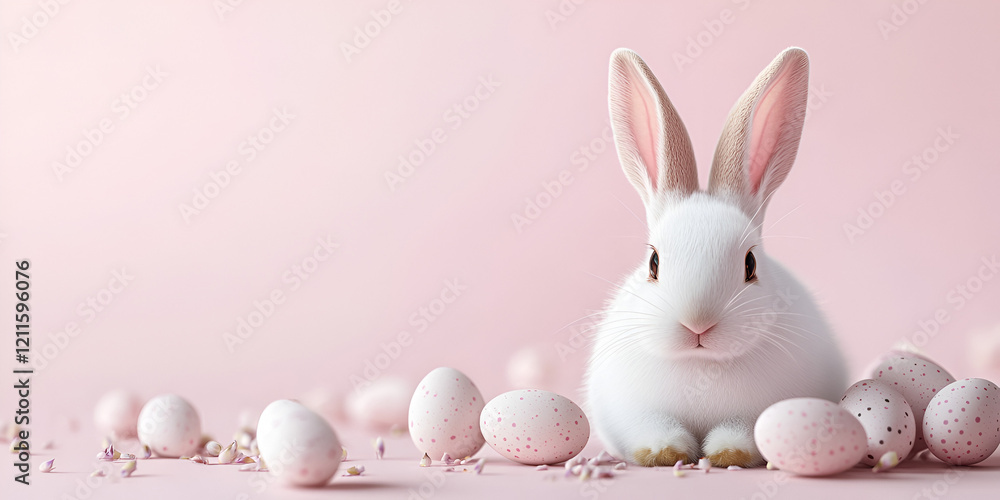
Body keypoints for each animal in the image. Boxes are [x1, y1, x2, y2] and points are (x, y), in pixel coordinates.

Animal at [584, 47, 847, 468]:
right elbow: (653, 429)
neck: (701, 367)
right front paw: (665, 451)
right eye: (653, 263)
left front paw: (727, 453)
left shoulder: (757, 414)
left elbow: (742, 432)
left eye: (750, 264)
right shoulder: (637, 413)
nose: (697, 324)